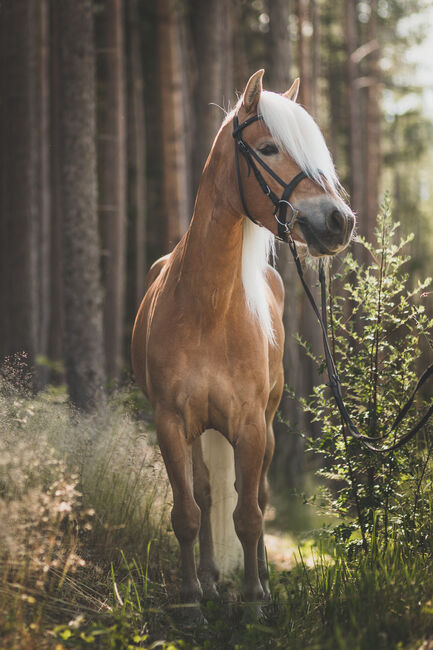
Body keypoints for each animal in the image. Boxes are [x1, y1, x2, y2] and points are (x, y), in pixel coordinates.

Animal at [132, 71, 354, 612]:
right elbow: (189, 512)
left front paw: (255, 598)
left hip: (267, 428)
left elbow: (251, 515)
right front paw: (191, 596)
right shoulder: (170, 424)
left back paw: (263, 580)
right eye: (269, 147)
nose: (340, 222)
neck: (208, 309)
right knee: (209, 495)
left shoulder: (252, 426)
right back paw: (211, 578)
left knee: (258, 497)